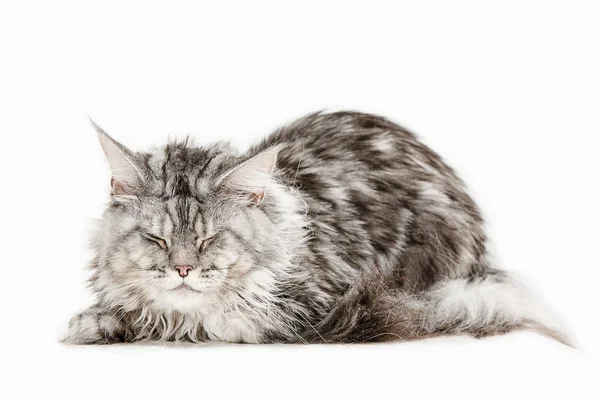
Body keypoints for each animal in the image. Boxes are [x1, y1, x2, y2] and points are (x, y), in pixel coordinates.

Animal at [62, 111, 572, 344]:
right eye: (157, 238)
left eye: (210, 239)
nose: (183, 270)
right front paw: (95, 323)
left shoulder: (314, 304)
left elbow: (213, 321)